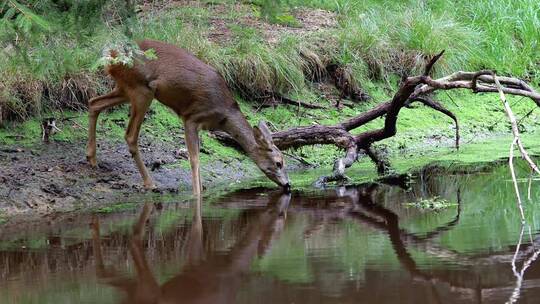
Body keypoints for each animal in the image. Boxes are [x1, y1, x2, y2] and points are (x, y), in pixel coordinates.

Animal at [87, 39, 292, 196]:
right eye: (279, 163)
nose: (288, 185)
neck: (224, 115)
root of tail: (112, 55)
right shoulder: (192, 117)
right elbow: (194, 159)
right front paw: (197, 194)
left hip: (125, 87)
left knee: (93, 102)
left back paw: (92, 158)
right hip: (141, 89)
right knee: (130, 135)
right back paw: (150, 183)